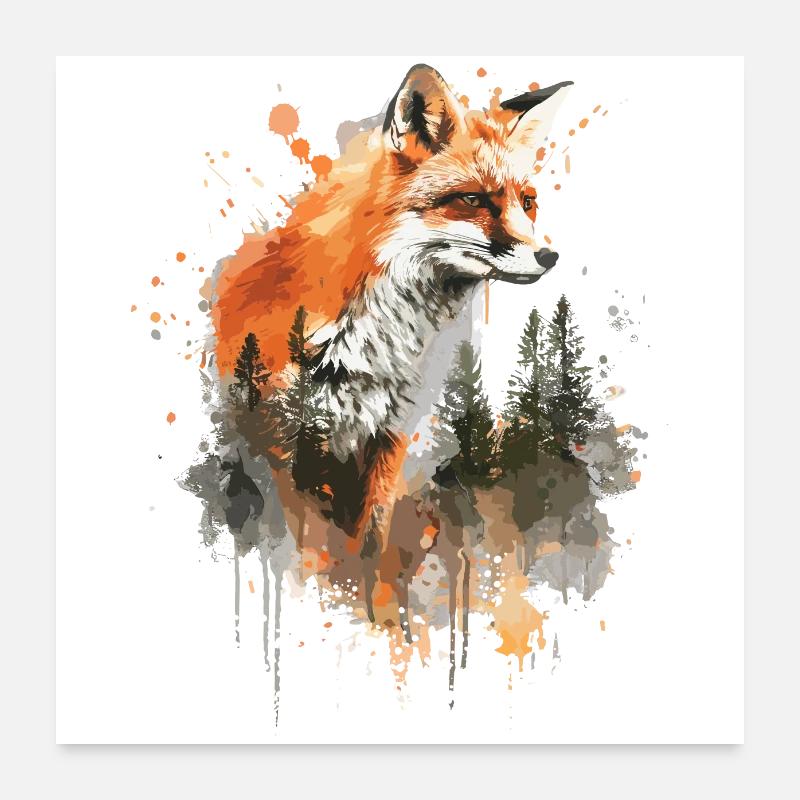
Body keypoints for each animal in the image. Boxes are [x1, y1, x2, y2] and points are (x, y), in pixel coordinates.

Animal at [212, 64, 572, 613]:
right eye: (473, 200)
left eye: (527, 202)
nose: (549, 257)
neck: (373, 346)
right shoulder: (283, 444)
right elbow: (303, 555)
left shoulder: (388, 437)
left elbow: (369, 550)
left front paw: (375, 618)